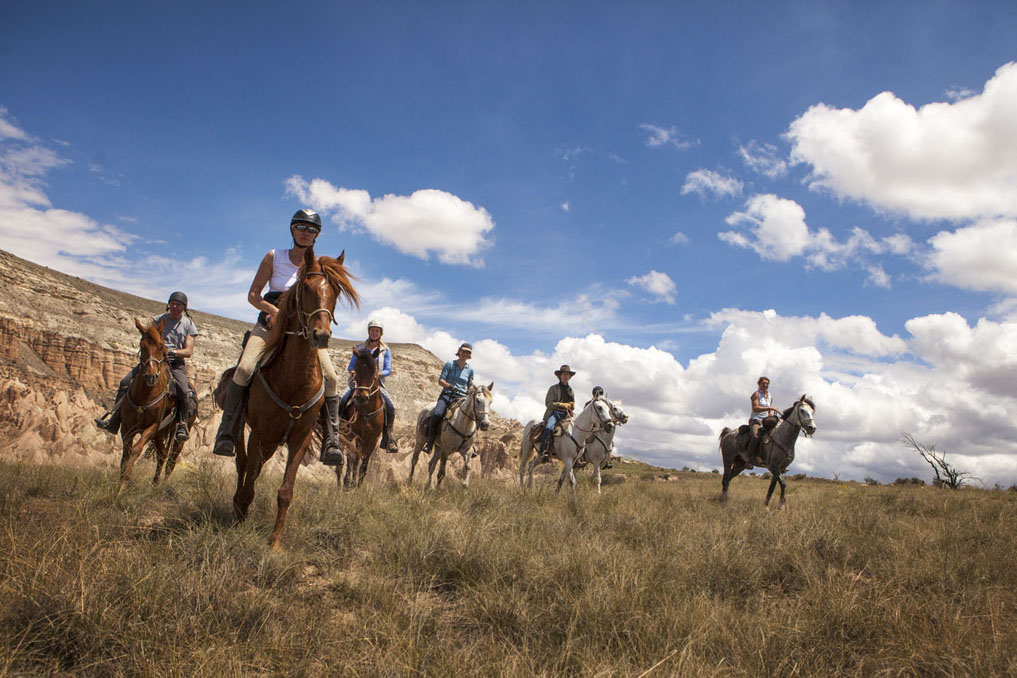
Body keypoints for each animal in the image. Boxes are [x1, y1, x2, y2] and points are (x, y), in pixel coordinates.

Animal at [118, 318, 187, 486]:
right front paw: (119, 484)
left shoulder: (152, 427)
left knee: (171, 461)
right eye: (142, 345)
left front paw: (126, 478)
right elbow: (126, 454)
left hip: (176, 439)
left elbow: (136, 449)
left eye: (161, 346)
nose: (151, 376)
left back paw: (162, 485)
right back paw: (155, 484)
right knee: (162, 454)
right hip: (160, 434)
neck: (144, 396)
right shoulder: (127, 427)